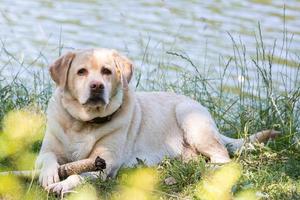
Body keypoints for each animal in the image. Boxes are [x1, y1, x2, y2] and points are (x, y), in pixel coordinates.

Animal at [35, 48, 278, 194]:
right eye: (81, 72)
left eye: (106, 71)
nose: (96, 86)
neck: (83, 123)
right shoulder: (47, 149)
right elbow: (48, 159)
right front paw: (50, 175)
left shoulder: (105, 163)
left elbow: (79, 175)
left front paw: (62, 184)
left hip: (191, 119)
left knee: (224, 157)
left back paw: (210, 169)